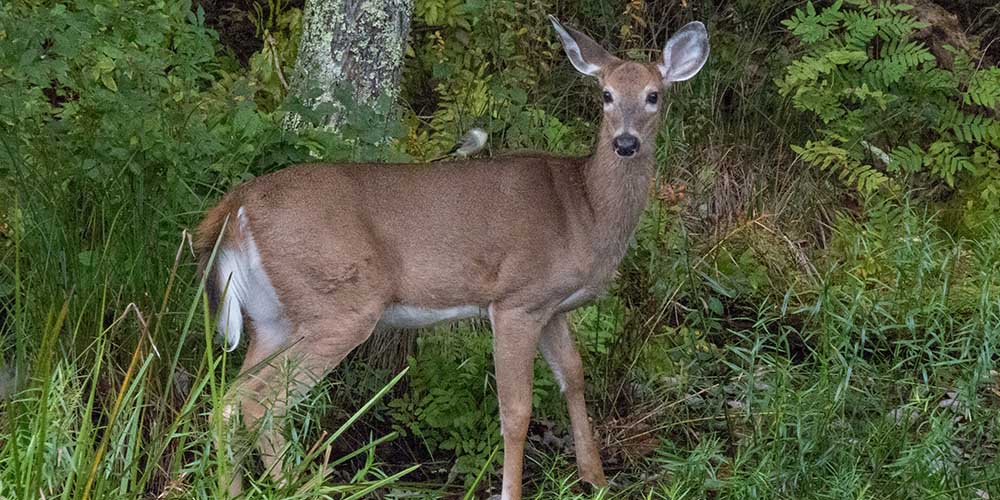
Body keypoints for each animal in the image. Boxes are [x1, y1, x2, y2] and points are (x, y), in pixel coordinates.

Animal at [195, 15, 708, 500]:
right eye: (605, 95)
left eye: (653, 96)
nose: (626, 143)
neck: (583, 209)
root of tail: (236, 205)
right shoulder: (517, 299)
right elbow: (517, 410)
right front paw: (511, 490)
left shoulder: (553, 307)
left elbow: (574, 378)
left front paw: (595, 479)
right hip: (338, 303)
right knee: (262, 402)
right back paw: (294, 484)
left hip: (273, 316)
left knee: (227, 399)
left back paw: (231, 487)